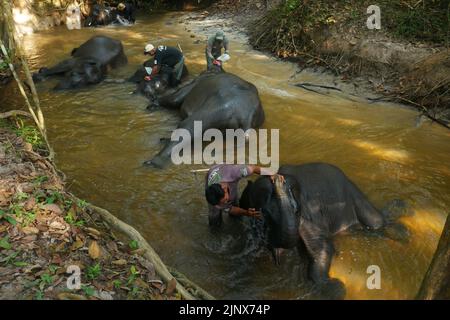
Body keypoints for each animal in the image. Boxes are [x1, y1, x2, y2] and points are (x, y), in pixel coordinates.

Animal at [241, 164, 410, 288]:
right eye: (265, 213)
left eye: (297, 210)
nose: (277, 179)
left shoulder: (309, 214)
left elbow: (323, 247)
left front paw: (332, 286)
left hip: (355, 195)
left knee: (376, 222)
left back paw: (403, 231)